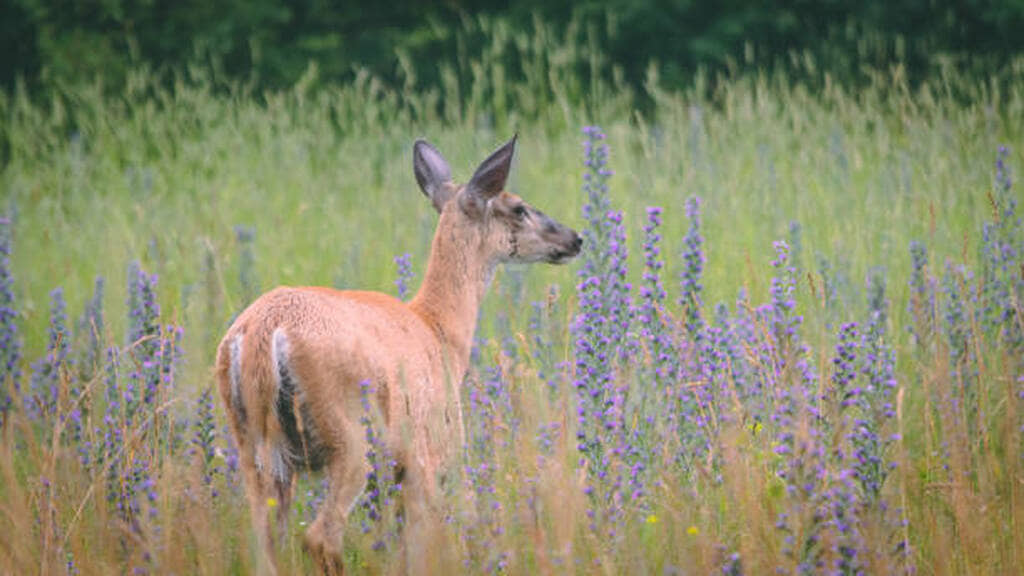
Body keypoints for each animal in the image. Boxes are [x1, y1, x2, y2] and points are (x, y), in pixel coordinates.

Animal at [215, 135, 582, 575]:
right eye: (519, 208)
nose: (574, 238)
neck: (439, 330)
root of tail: (261, 332)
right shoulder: (431, 453)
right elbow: (421, 546)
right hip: (350, 436)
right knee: (320, 535)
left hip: (253, 448)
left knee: (262, 541)